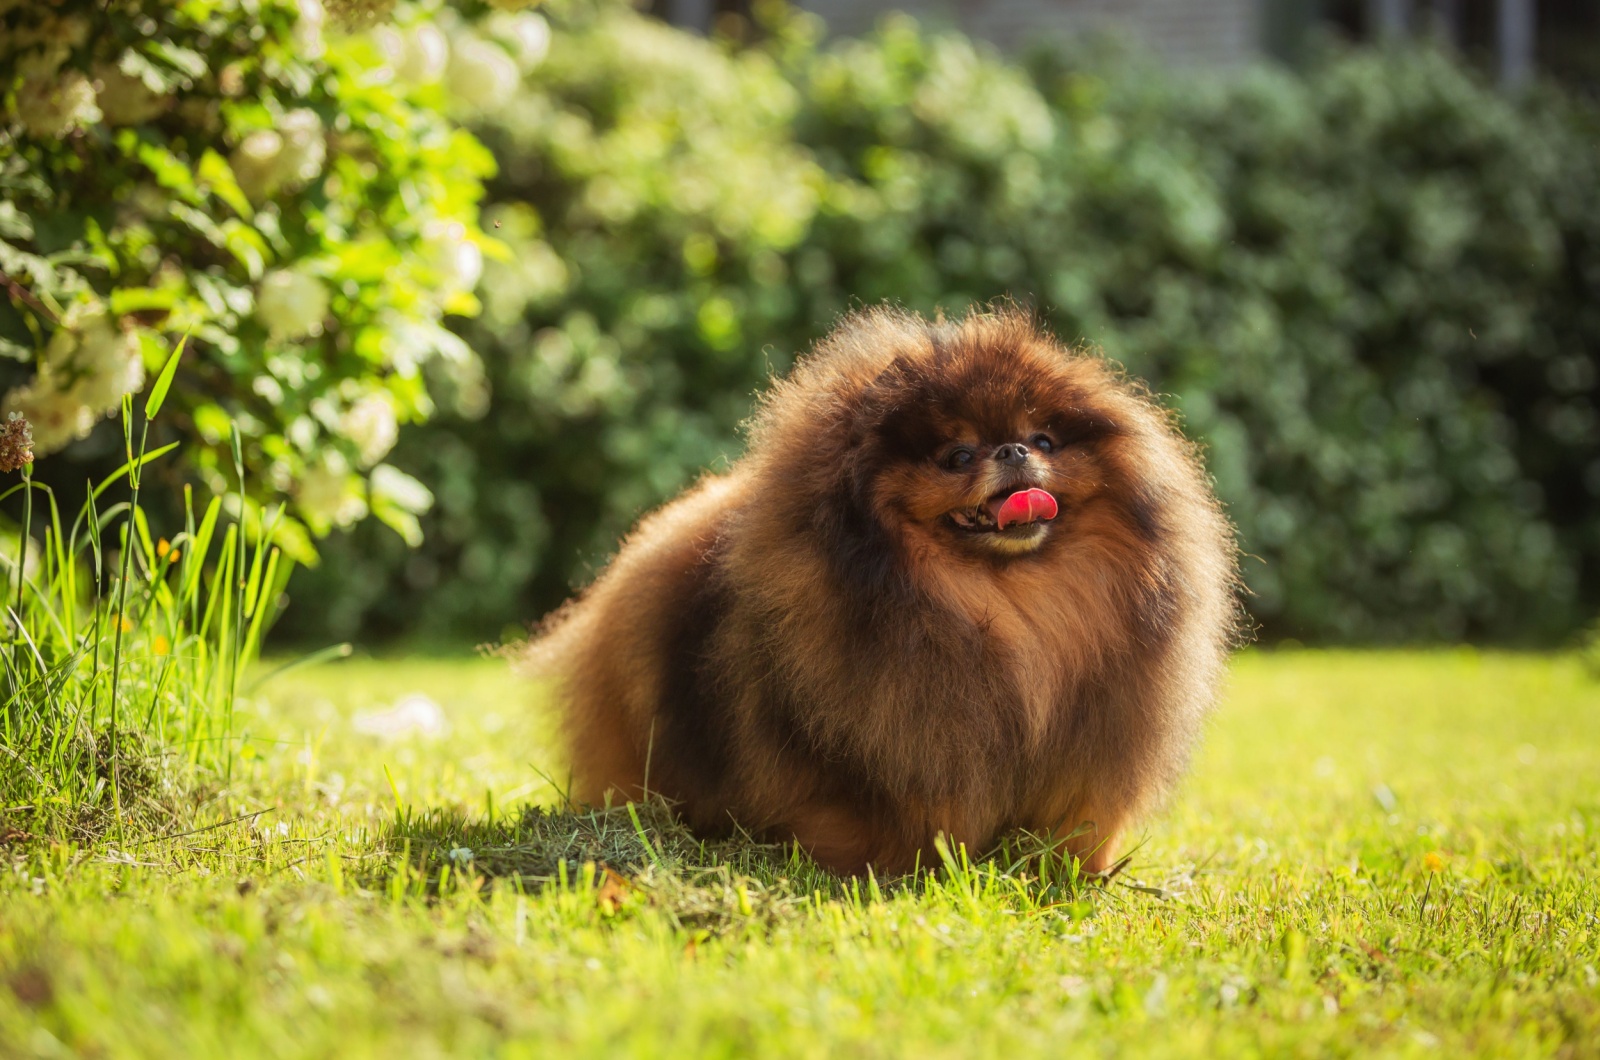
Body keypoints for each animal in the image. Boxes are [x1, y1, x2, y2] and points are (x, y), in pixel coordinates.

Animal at [524, 307, 1235, 877]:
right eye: (956, 456)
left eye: (1044, 440)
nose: (1012, 450)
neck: (1010, 607)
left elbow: (1077, 826)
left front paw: (1071, 875)